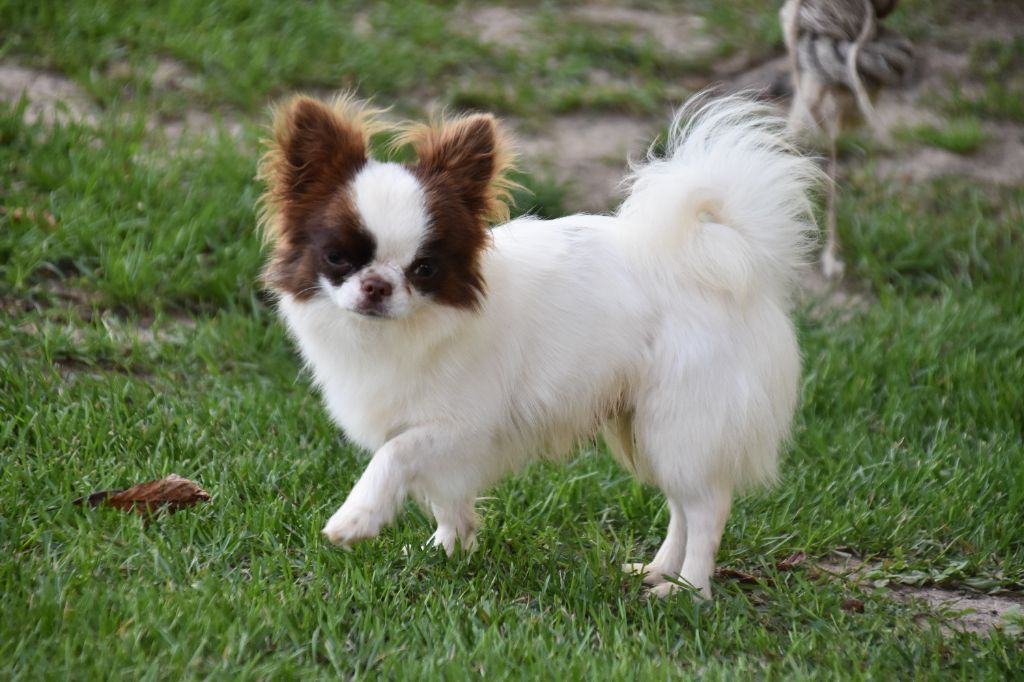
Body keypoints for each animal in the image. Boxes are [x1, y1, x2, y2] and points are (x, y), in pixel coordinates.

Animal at [258, 93, 819, 598]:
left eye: (425, 269)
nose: (377, 285)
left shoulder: (462, 425)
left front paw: (357, 518)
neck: (397, 334)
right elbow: (445, 497)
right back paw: (659, 571)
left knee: (706, 511)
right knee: (684, 506)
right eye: (338, 258)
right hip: (650, 428)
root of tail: (735, 258)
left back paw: (688, 592)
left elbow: (394, 456)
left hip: (681, 421)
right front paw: (448, 550)